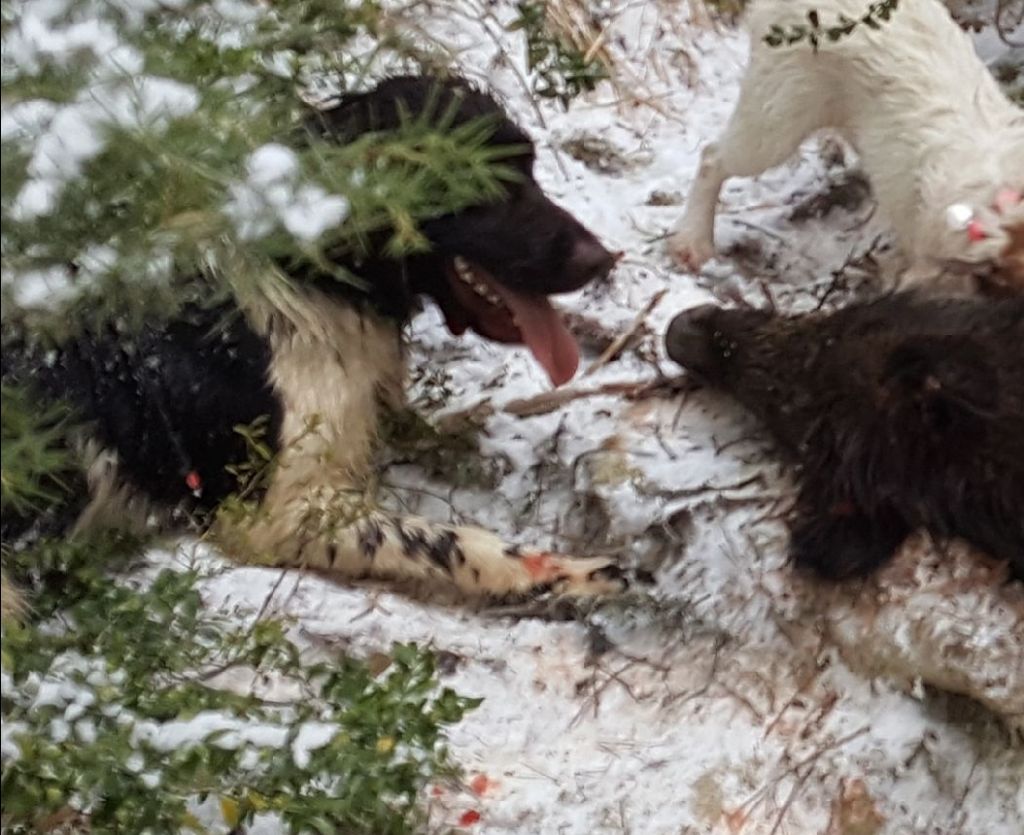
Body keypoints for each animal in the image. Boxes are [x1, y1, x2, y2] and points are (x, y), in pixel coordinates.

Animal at [2, 76, 630, 602]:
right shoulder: (276, 511)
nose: (603, 259)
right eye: (482, 181)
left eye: (530, 167)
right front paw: (568, 571)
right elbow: (447, 541)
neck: (310, 275)